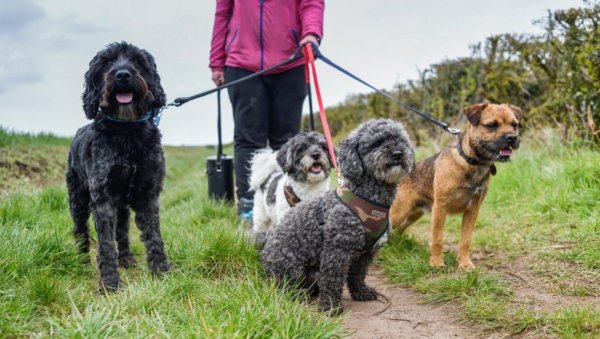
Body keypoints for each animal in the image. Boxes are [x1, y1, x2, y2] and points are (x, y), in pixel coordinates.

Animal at [68, 41, 171, 292]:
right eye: (107, 62)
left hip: (122, 204)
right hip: (78, 198)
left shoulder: (147, 192)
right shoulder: (103, 197)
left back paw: (126, 259)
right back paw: (82, 261)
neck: (127, 131)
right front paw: (109, 283)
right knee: (81, 230)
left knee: (122, 231)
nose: (122, 74)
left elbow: (154, 234)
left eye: (137, 61)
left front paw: (161, 271)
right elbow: (105, 244)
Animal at [260, 120, 414, 316]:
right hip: (290, 266)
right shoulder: (337, 249)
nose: (397, 153)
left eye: (400, 140)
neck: (370, 199)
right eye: (377, 143)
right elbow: (332, 278)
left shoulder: (365, 253)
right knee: (286, 286)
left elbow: (357, 275)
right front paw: (331, 306)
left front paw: (361, 292)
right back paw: (298, 294)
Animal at [390, 102, 520, 270]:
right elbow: (438, 238)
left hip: (413, 214)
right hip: (399, 212)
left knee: (397, 231)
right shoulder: (440, 208)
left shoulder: (472, 210)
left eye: (514, 125)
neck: (471, 163)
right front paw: (436, 262)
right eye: (492, 125)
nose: (512, 138)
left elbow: (465, 240)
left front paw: (464, 263)